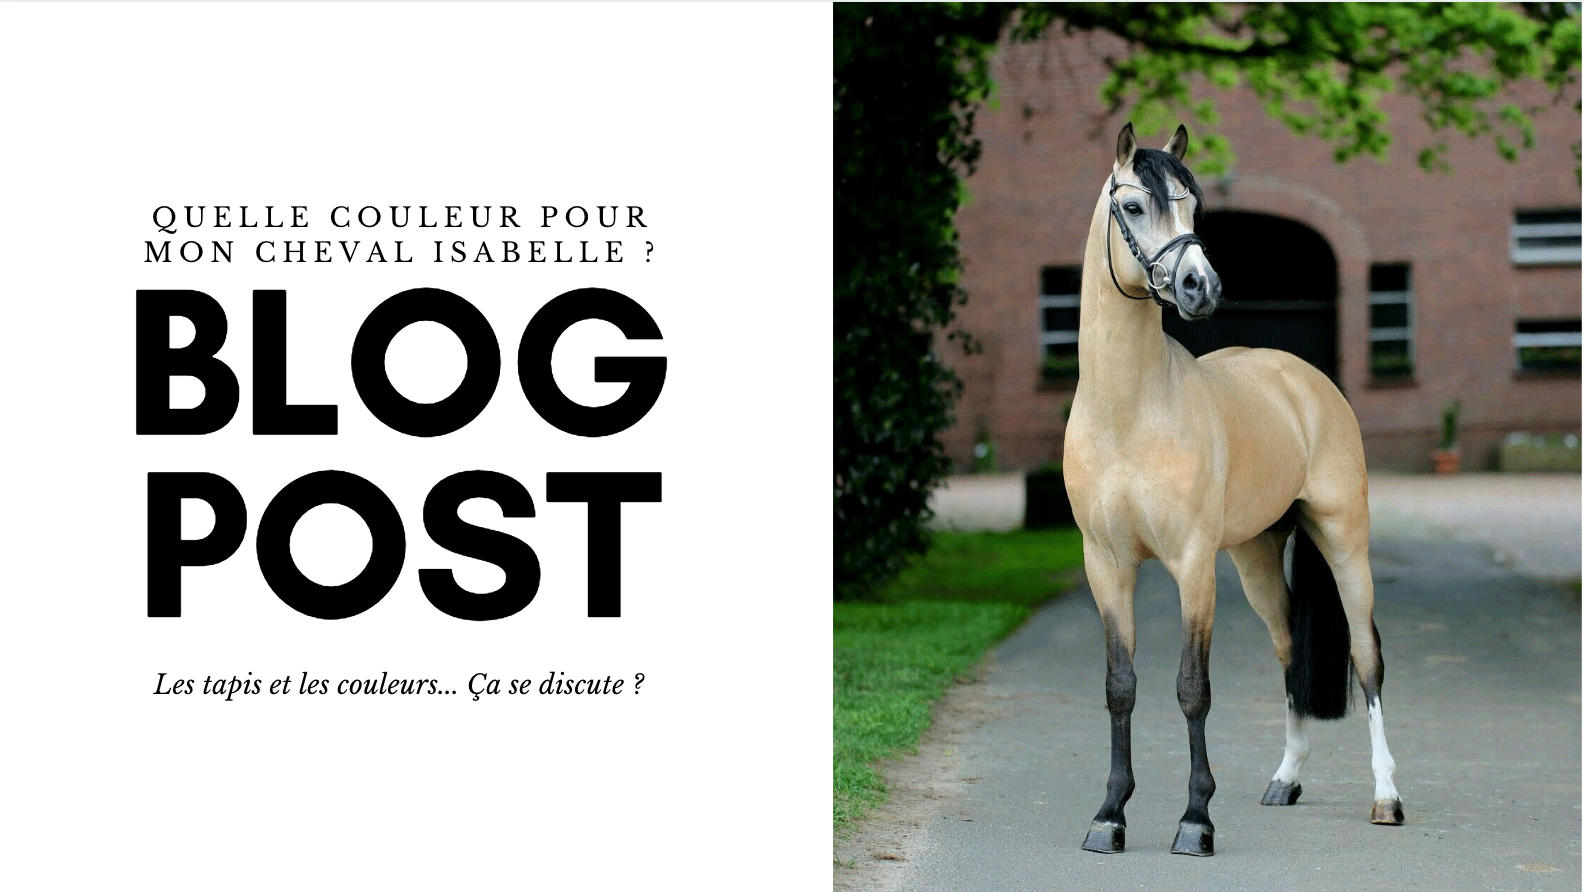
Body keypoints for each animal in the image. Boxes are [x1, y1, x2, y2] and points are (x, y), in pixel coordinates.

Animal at [1061, 122, 1404, 857]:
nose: (1201, 285)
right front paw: (1109, 816)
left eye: (1194, 206)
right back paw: (1286, 780)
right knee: (1288, 652)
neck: (1128, 411)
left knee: (1367, 657)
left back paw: (1387, 798)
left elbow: (1193, 688)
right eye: (1133, 206)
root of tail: (1302, 379)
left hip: (1344, 543)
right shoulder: (1107, 565)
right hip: (1254, 559)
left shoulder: (1193, 565)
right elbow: (1120, 686)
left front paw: (1196, 821)